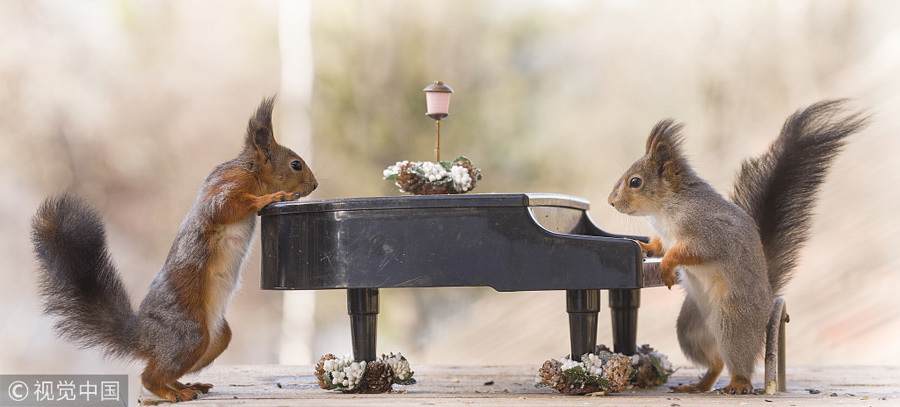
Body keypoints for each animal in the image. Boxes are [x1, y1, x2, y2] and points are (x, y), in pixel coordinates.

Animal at [31, 97, 318, 404]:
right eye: (296, 164)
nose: (315, 185)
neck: (250, 169)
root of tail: (143, 336)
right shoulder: (229, 184)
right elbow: (224, 207)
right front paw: (274, 196)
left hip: (215, 339)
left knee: (163, 370)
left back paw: (186, 386)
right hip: (189, 333)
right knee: (149, 376)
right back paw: (172, 393)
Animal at [608, 100, 868, 394]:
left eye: (635, 182)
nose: (611, 202)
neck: (665, 209)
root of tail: (767, 303)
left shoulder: (709, 233)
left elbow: (687, 252)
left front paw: (666, 267)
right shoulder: (664, 237)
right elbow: (659, 246)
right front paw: (642, 248)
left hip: (733, 320)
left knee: (737, 360)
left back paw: (739, 384)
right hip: (690, 328)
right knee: (717, 362)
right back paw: (697, 386)